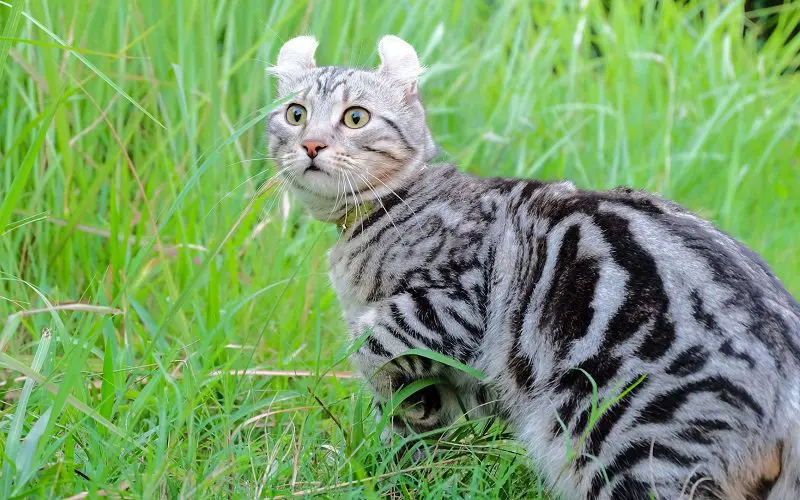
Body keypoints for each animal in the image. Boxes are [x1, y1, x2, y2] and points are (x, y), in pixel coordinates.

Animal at [268, 36, 800, 500]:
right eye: (296, 115)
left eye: (355, 117)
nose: (312, 145)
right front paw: (401, 454)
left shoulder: (452, 304)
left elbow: (371, 343)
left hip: (630, 442)